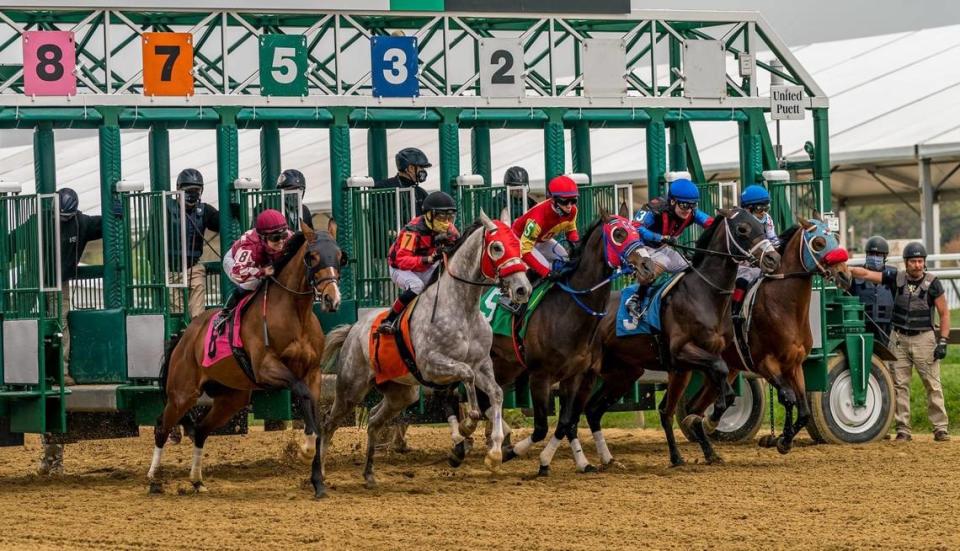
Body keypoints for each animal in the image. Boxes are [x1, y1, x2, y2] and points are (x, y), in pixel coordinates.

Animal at [146, 224, 344, 492]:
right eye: (312, 257)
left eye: (340, 256)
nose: (332, 299)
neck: (296, 314)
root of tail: (185, 334)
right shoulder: (267, 367)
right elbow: (301, 392)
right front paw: (305, 448)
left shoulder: (313, 372)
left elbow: (314, 409)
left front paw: (318, 482)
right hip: (182, 393)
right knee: (161, 426)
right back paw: (154, 476)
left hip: (232, 398)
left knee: (201, 429)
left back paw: (197, 480)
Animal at [312, 212, 528, 500]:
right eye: (496, 248)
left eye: (517, 244)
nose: (523, 289)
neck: (463, 308)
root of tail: (353, 330)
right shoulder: (432, 366)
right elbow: (466, 378)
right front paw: (467, 426)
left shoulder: (482, 364)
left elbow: (495, 393)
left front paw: (494, 453)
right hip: (350, 389)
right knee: (328, 423)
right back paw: (321, 476)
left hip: (401, 394)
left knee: (374, 420)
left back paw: (369, 474)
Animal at [576, 209, 780, 468]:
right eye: (742, 229)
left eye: (762, 227)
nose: (773, 259)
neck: (704, 294)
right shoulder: (683, 352)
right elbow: (720, 378)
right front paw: (710, 419)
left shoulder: (698, 360)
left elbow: (717, 390)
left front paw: (708, 442)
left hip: (626, 373)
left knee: (607, 410)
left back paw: (670, 457)